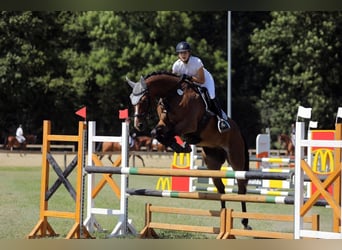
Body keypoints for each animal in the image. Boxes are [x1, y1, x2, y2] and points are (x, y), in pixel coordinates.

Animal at [125, 71, 251, 229]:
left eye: (143, 99)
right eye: (131, 100)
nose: (139, 125)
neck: (173, 94)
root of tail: (238, 131)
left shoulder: (188, 124)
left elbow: (169, 132)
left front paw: (181, 145)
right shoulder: (164, 123)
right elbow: (156, 132)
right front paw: (178, 145)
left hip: (235, 158)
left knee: (241, 188)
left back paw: (245, 222)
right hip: (212, 162)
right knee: (221, 188)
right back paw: (223, 216)